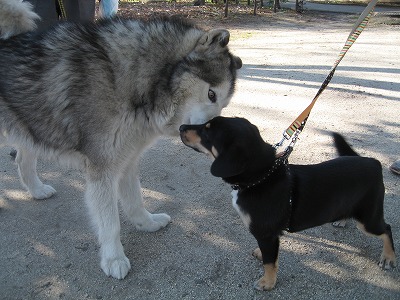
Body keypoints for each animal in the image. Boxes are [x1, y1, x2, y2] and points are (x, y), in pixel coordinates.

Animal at [0, 0, 241, 278]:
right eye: (211, 94)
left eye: (223, 106)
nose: (211, 137)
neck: (137, 81)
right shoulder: (103, 169)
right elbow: (110, 222)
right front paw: (114, 259)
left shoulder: (127, 160)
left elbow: (135, 200)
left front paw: (147, 223)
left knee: (22, 160)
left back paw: (37, 190)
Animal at [179, 116, 396, 290]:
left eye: (206, 131)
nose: (181, 126)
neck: (260, 178)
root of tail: (373, 162)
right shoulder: (267, 235)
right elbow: (268, 255)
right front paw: (261, 256)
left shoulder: (266, 233)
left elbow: (270, 263)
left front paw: (267, 283)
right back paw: (342, 219)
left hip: (368, 218)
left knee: (386, 228)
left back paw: (388, 257)